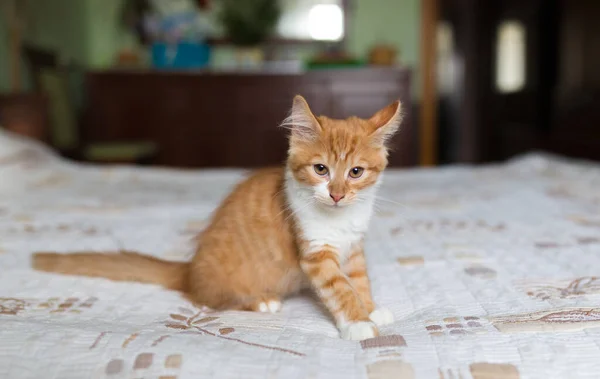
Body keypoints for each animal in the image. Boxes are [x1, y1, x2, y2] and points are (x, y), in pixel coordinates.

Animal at [30, 95, 400, 342]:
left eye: (355, 172)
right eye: (320, 169)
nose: (336, 194)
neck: (339, 219)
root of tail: (189, 270)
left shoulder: (353, 246)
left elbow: (359, 279)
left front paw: (370, 308)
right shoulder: (315, 252)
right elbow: (340, 288)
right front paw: (358, 323)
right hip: (226, 284)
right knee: (212, 299)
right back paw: (262, 301)